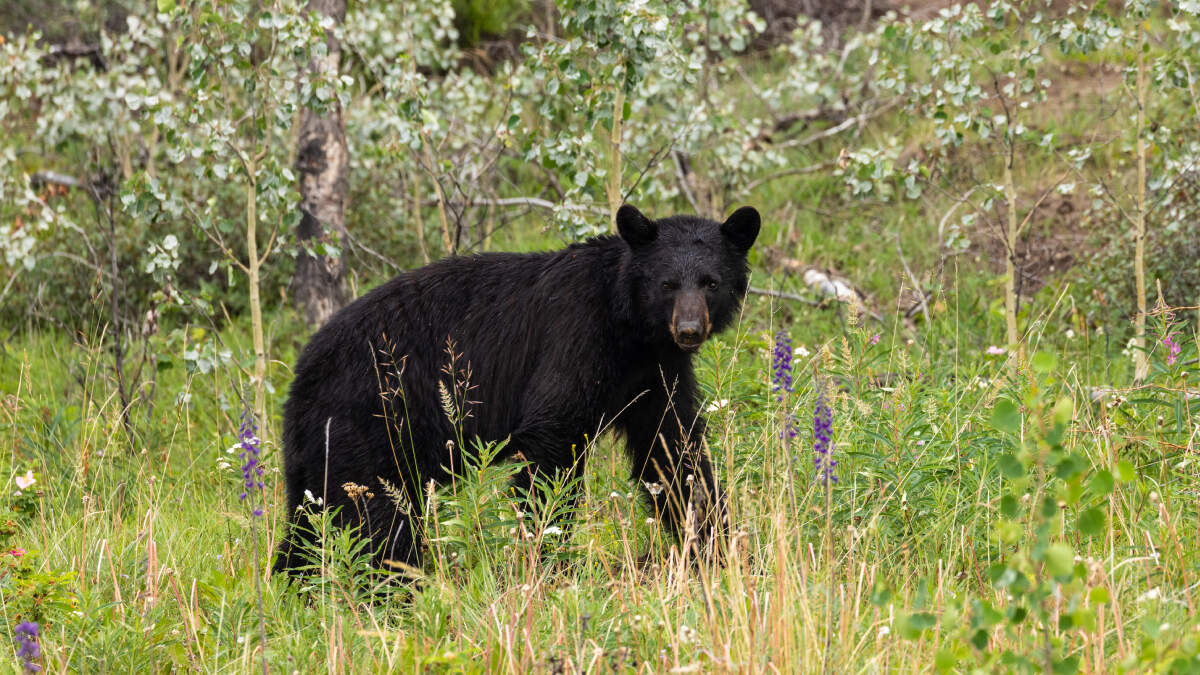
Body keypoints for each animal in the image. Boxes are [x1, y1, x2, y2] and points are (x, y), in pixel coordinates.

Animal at [274, 204, 760, 576]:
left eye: (711, 282)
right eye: (667, 284)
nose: (689, 329)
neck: (631, 330)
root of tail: (301, 377)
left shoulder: (655, 372)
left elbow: (673, 449)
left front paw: (719, 546)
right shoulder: (576, 336)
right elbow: (553, 437)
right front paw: (546, 555)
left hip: (328, 448)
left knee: (311, 520)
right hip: (372, 422)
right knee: (373, 518)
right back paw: (391, 586)